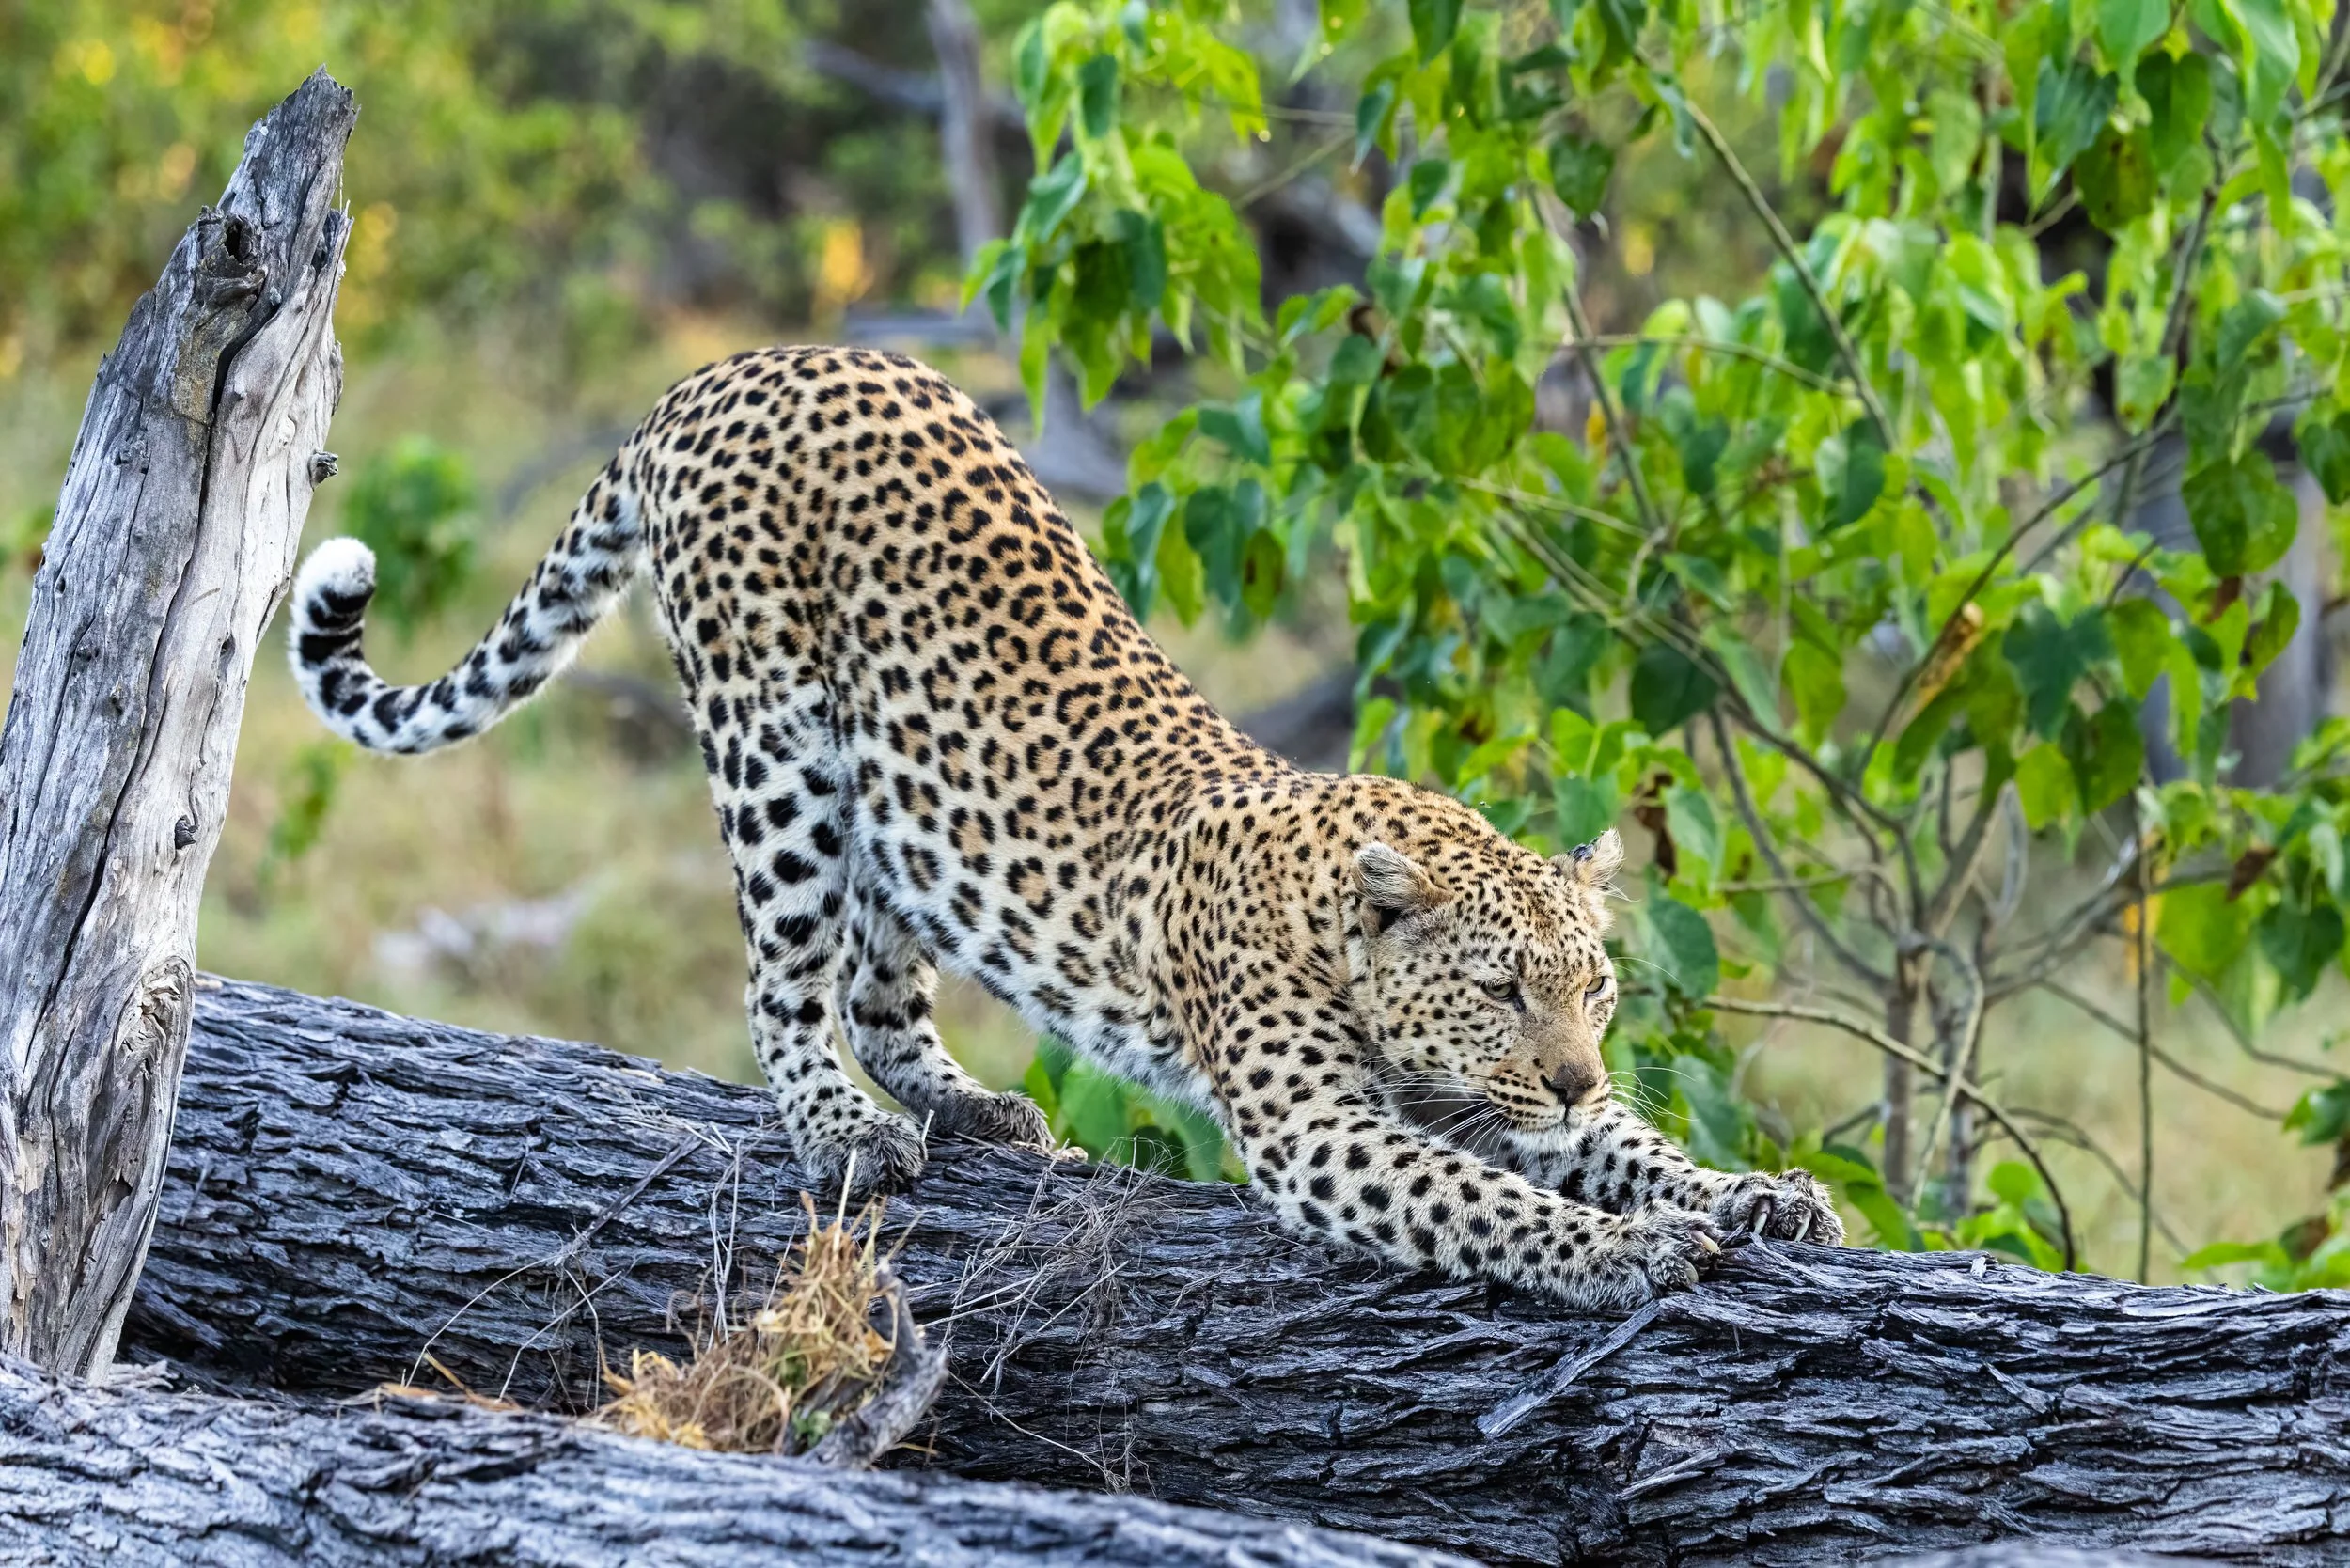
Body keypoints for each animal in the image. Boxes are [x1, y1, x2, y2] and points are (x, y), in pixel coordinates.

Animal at [288, 344, 1841, 1310]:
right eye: (1500, 988)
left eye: (1597, 990)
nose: (1574, 1074)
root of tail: (741, 365)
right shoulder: (1319, 1130)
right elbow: (1491, 1204)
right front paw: (1626, 1251)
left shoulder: (1488, 1105)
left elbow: (1625, 1146)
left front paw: (1756, 1195)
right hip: (775, 745)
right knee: (782, 981)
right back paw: (846, 1131)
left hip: (897, 787)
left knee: (879, 973)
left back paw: (964, 1102)